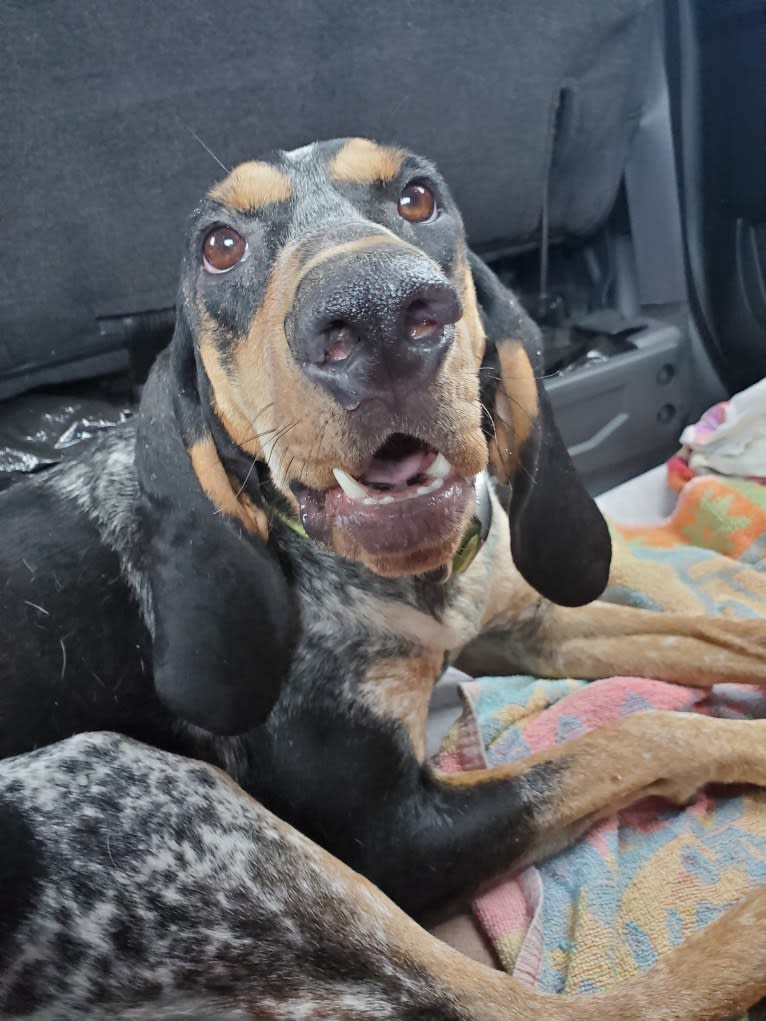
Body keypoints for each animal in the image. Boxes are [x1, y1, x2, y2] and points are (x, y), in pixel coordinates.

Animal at [1, 139, 766, 1016]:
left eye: (418, 198)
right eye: (219, 246)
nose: (378, 313)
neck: (410, 586)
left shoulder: (520, 626)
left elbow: (713, 634)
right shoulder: (397, 836)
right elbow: (640, 733)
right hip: (158, 800)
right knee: (576, 1003)